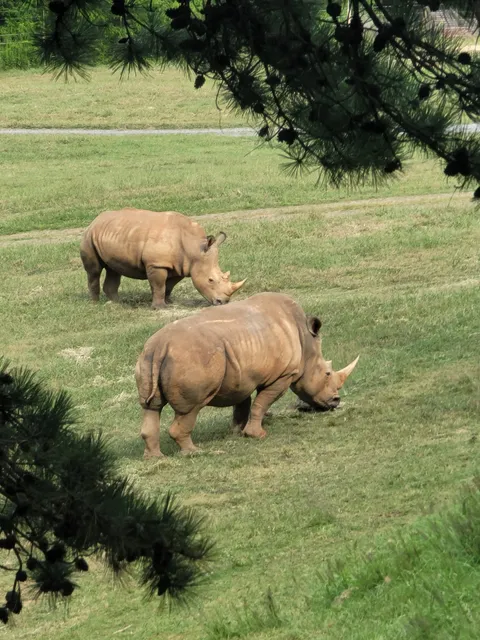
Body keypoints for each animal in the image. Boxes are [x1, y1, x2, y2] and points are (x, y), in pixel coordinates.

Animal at [80, 208, 246, 308]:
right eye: (210, 280)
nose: (223, 302)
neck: (194, 248)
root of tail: (95, 219)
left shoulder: (181, 265)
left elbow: (169, 285)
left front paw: (169, 301)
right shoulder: (157, 264)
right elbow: (159, 285)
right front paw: (160, 307)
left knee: (113, 269)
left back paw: (117, 303)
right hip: (89, 237)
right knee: (94, 271)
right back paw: (95, 303)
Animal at [135, 292, 359, 458]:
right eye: (327, 373)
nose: (336, 401)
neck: (306, 343)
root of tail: (160, 347)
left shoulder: (241, 375)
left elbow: (242, 403)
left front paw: (236, 432)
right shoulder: (282, 376)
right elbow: (261, 403)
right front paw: (257, 435)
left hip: (147, 358)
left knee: (151, 407)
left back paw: (155, 458)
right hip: (191, 359)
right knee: (191, 409)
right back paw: (194, 452)